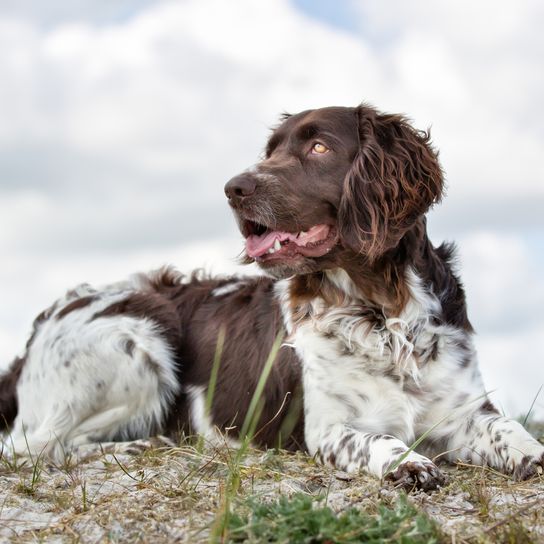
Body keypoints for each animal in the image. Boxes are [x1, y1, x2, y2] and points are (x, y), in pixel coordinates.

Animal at [1, 102, 544, 488]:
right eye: (270, 151)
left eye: (320, 148)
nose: (233, 188)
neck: (381, 314)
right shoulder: (326, 429)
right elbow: (374, 440)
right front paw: (406, 463)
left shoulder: (464, 410)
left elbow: (510, 431)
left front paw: (533, 454)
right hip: (140, 332)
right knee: (34, 445)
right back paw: (135, 447)